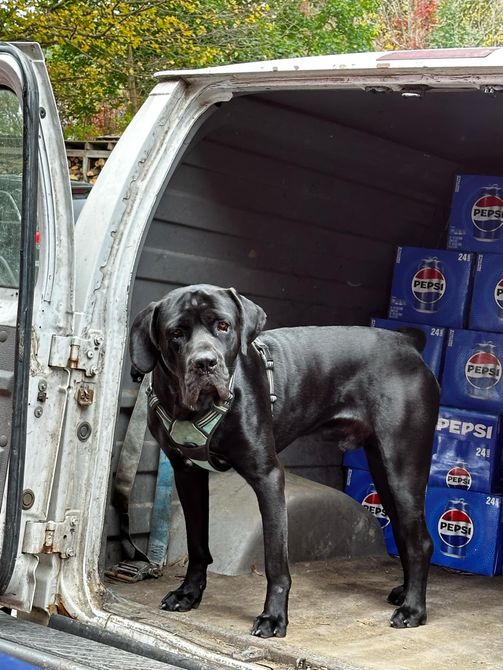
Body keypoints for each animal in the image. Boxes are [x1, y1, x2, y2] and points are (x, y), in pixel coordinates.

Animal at [131, 284, 440, 640]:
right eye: (176, 333)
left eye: (223, 326)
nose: (204, 363)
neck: (194, 409)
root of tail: (407, 343)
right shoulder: (187, 474)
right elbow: (197, 544)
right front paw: (189, 593)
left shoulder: (267, 477)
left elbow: (275, 560)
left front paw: (274, 617)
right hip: (383, 472)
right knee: (405, 532)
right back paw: (405, 592)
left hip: (402, 467)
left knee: (420, 541)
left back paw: (414, 609)